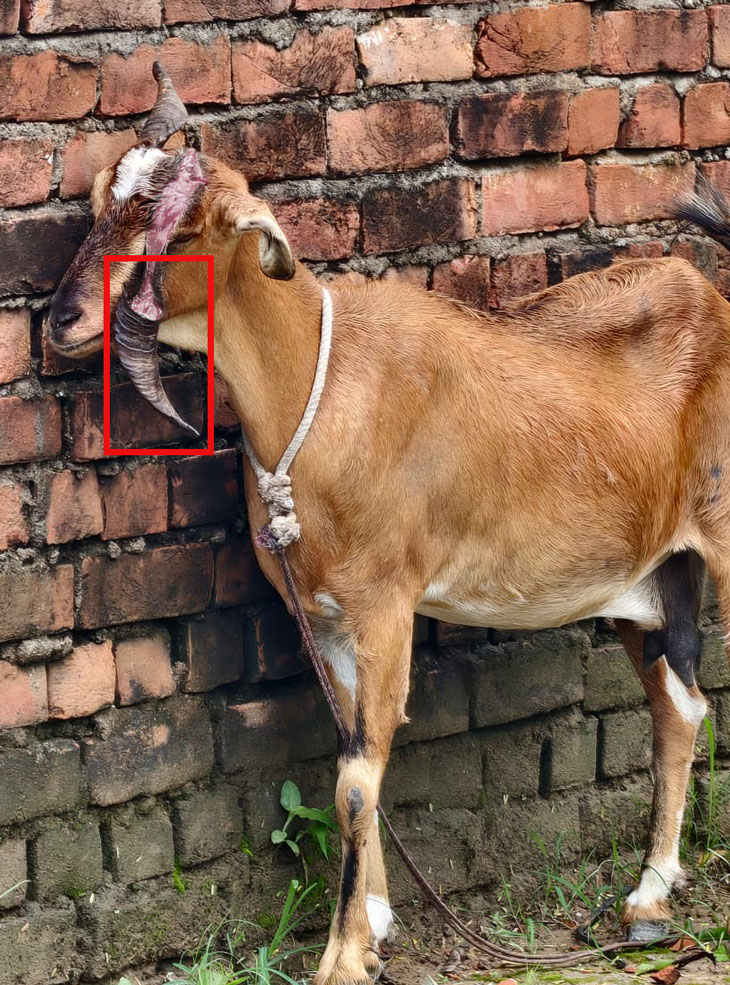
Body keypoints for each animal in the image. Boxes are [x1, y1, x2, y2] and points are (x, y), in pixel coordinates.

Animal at [48, 64, 730, 984]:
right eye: (95, 201)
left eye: (184, 226)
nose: (62, 319)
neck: (320, 384)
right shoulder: (327, 616)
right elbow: (351, 762)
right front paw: (375, 920)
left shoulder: (385, 604)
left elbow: (355, 780)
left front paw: (342, 953)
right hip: (654, 577)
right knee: (679, 704)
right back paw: (650, 894)